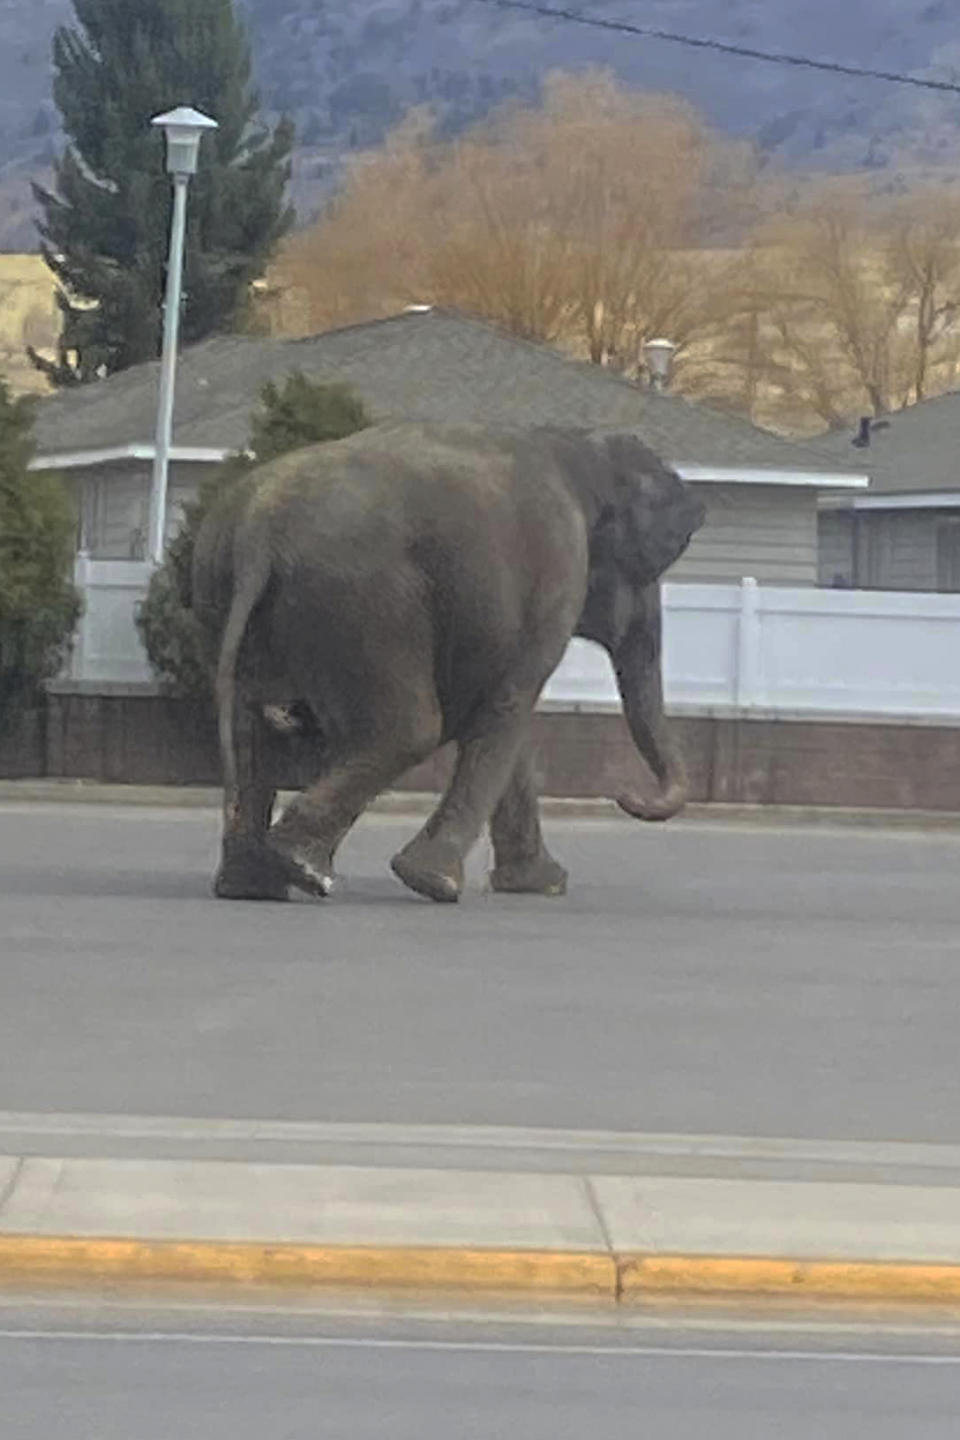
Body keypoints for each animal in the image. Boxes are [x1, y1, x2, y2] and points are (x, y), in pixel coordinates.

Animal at [192, 420, 705, 904]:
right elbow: (507, 707)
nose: (624, 796)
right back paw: (301, 869)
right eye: (649, 566)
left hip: (239, 593)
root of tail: (260, 528)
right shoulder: (559, 571)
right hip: (367, 602)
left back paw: (252, 885)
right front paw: (437, 884)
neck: (578, 444)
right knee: (410, 730)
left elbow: (503, 722)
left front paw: (541, 885)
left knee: (250, 730)